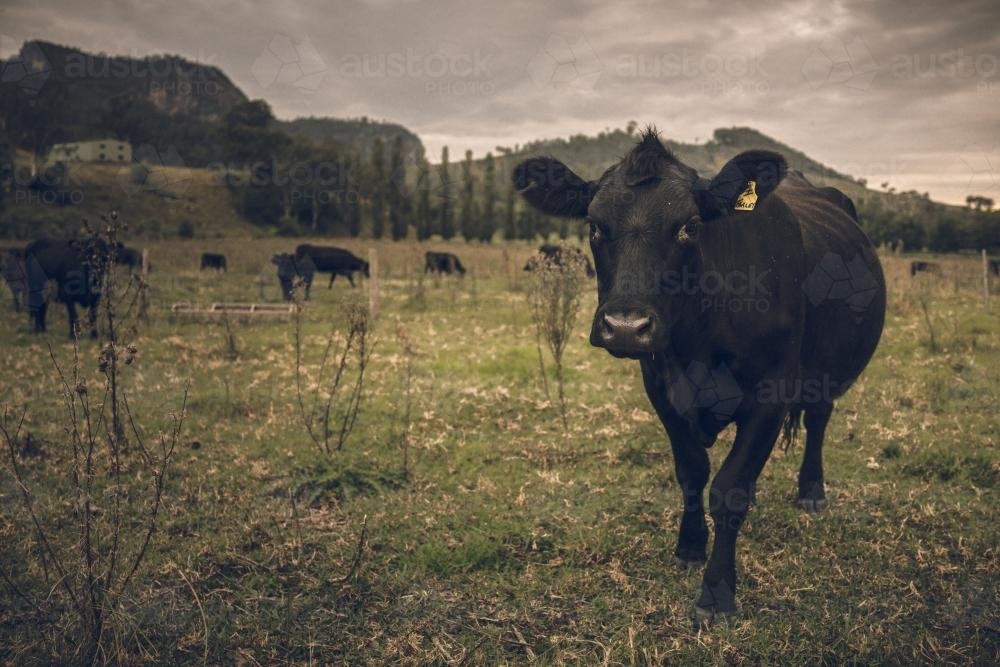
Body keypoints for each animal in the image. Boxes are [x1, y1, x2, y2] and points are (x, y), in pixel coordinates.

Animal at [512, 129, 888, 628]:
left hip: (829, 368)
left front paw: (716, 594)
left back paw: (812, 491)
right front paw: (689, 546)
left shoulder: (771, 393)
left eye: (689, 226)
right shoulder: (660, 386)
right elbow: (692, 471)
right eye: (593, 225)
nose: (626, 326)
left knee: (818, 420)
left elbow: (730, 491)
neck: (700, 339)